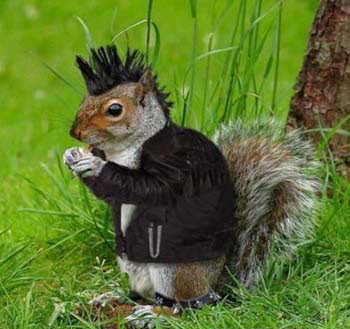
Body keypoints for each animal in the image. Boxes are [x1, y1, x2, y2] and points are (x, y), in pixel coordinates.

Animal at [63, 44, 320, 324]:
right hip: (133, 268)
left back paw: (157, 313)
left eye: (114, 110)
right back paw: (115, 296)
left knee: (187, 307)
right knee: (144, 293)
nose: (75, 132)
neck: (122, 150)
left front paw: (95, 165)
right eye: (84, 101)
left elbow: (144, 188)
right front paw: (72, 155)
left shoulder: (175, 166)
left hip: (174, 270)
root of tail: (215, 284)